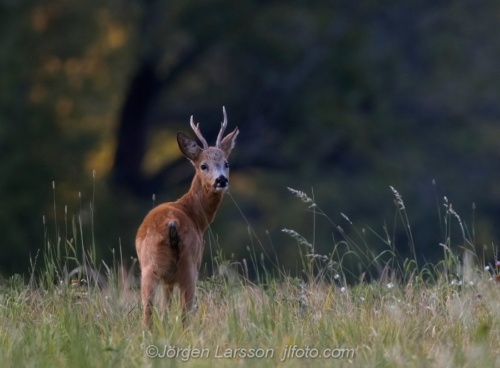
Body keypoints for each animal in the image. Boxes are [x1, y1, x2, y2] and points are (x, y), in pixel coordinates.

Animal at [136, 107, 239, 328]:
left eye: (226, 163)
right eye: (203, 165)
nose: (221, 180)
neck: (195, 216)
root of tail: (171, 224)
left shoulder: (167, 279)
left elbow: (164, 309)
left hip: (149, 269)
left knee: (147, 311)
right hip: (189, 266)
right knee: (185, 312)